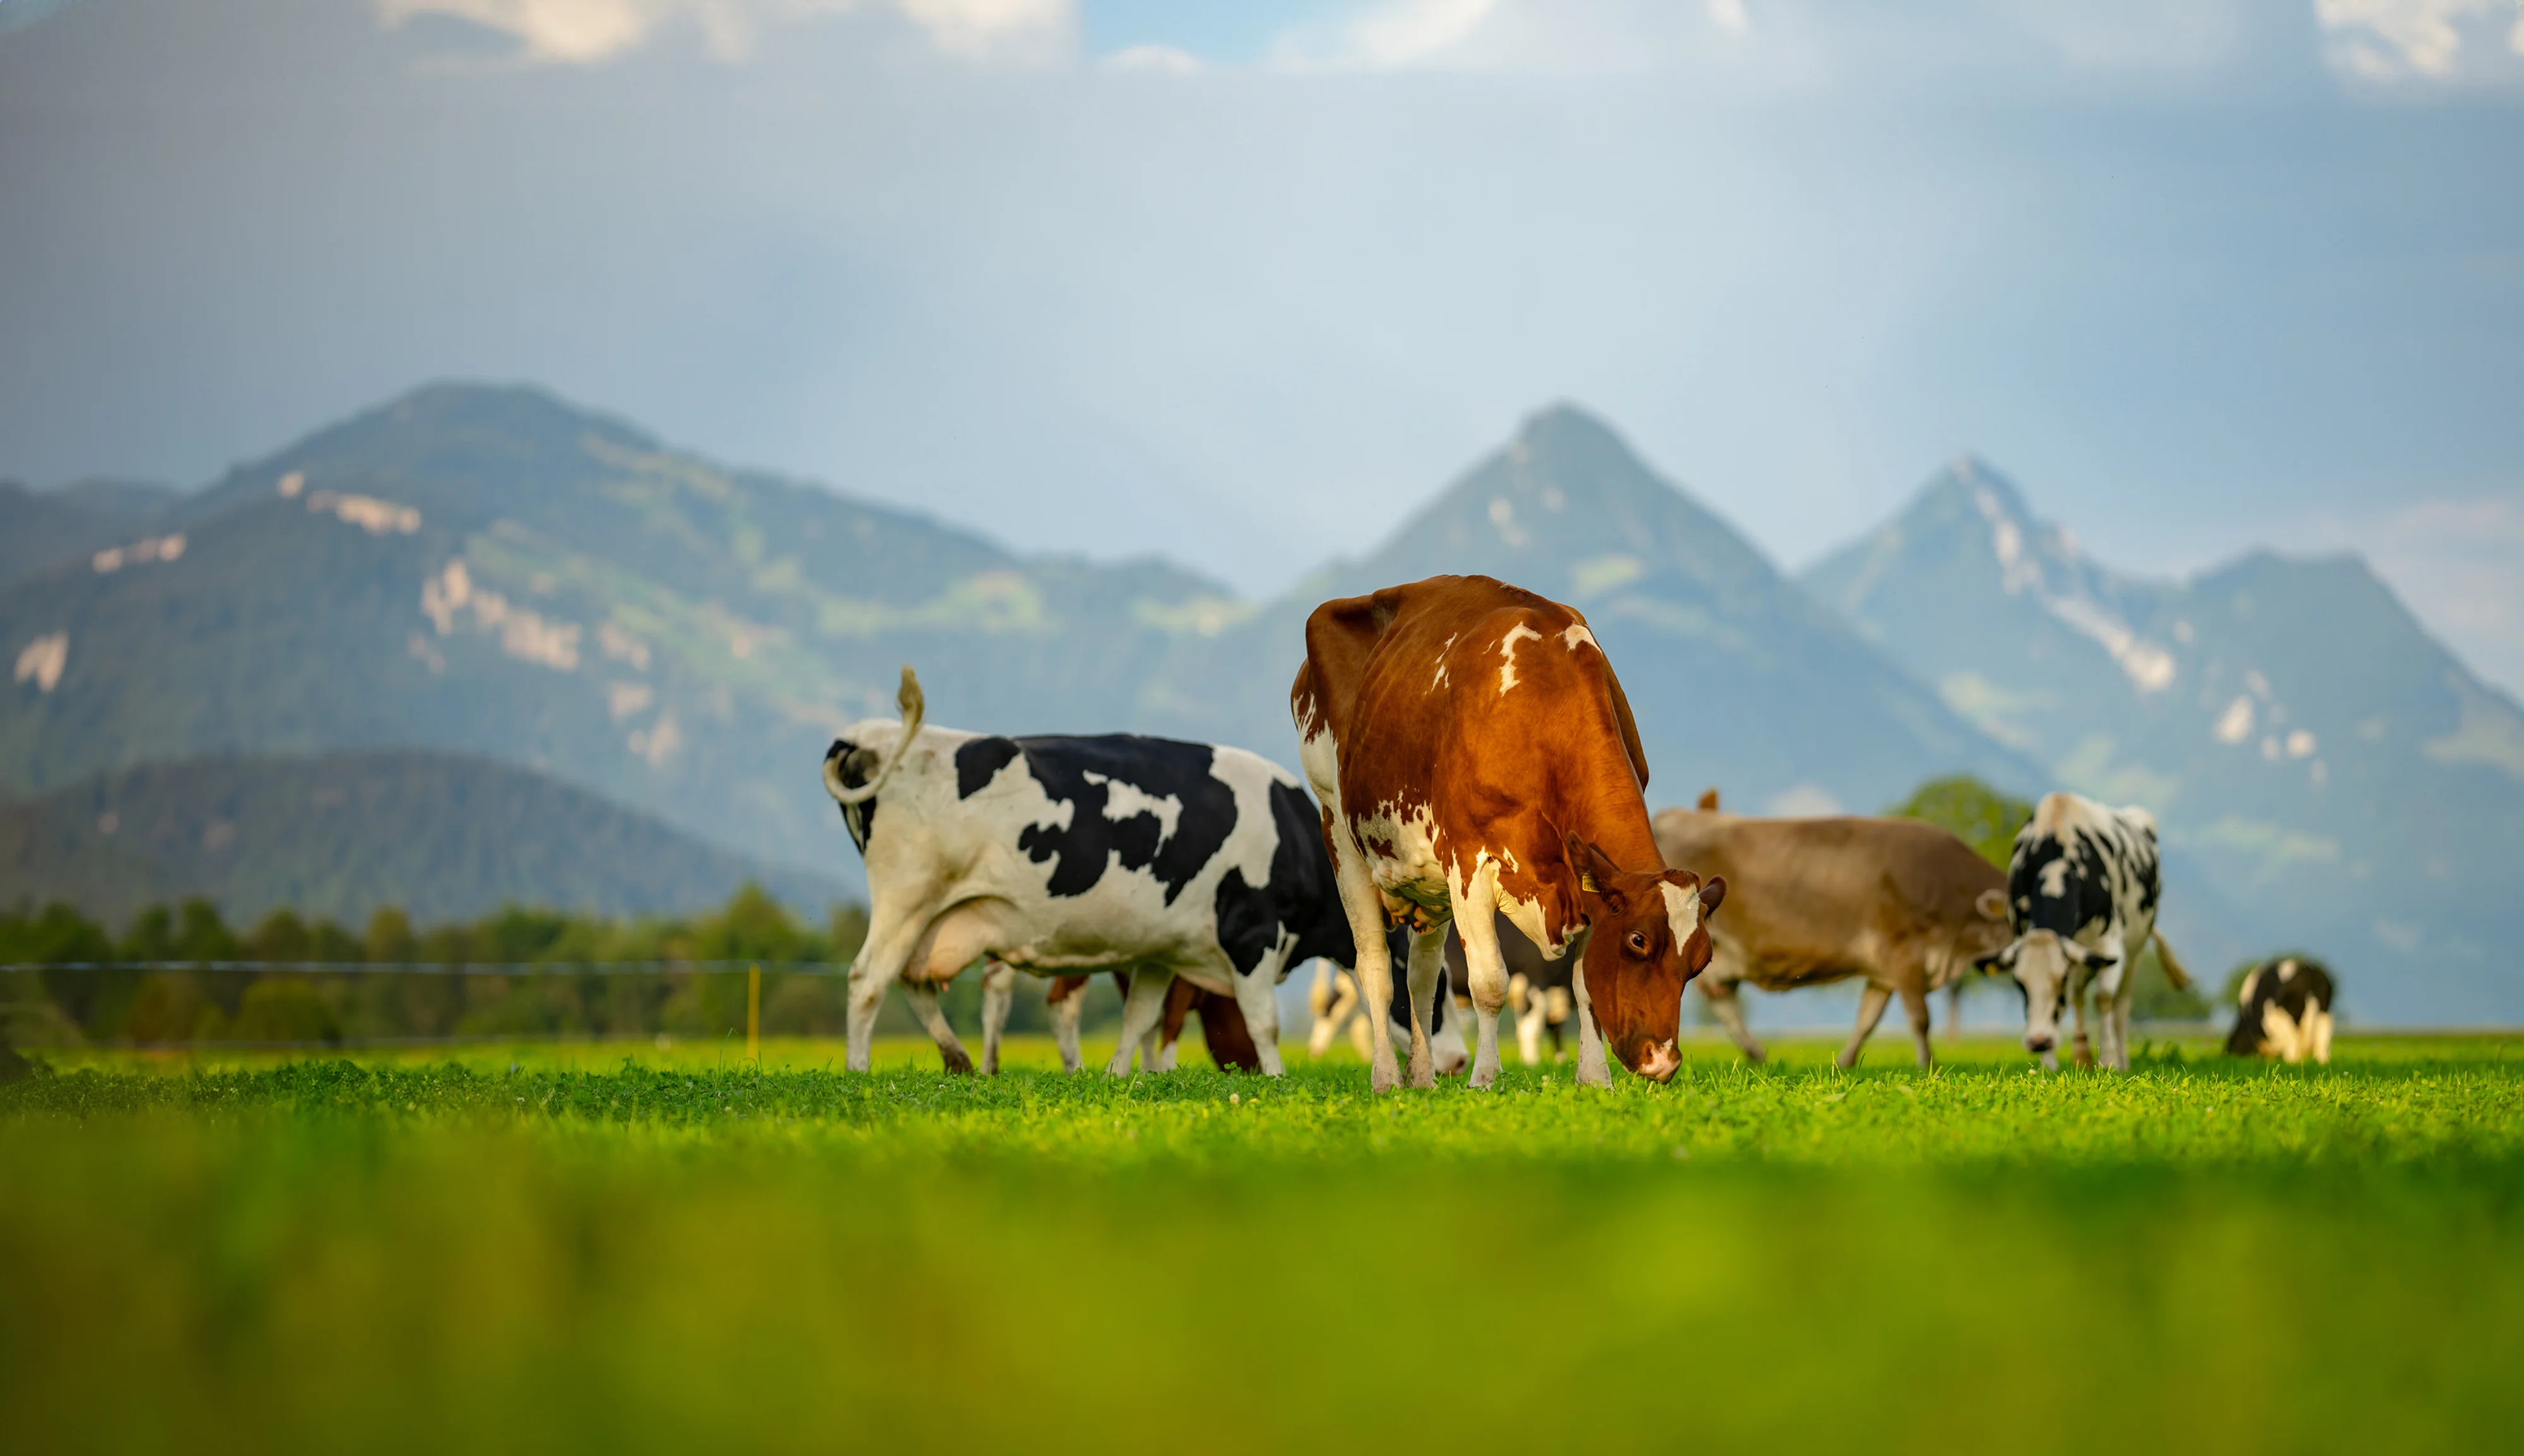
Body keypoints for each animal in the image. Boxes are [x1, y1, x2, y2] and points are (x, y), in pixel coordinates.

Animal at [823, 668, 1354, 1076]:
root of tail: (865, 736)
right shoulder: (1251, 933)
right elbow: (1262, 1021)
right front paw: (1276, 1078)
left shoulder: (1165, 950)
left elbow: (1140, 1016)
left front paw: (1119, 1075)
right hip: (907, 897)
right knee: (868, 980)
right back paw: (859, 1070)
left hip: (935, 917)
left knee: (916, 980)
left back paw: (959, 1060)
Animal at [1291, 574, 1724, 1091]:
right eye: (1638, 941)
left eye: (1700, 961)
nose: (1663, 1061)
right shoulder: (1469, 861)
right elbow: (1490, 983)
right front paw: (1484, 1078)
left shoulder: (1581, 880)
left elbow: (1582, 987)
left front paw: (1595, 1078)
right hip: (1340, 832)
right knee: (1374, 968)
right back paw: (1387, 1077)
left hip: (1427, 880)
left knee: (1421, 977)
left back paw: (1423, 1076)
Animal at [1650, 790, 2013, 1069]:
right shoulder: (1904, 952)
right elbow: (1920, 1017)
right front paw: (1928, 1065)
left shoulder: (1884, 971)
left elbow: (1868, 1018)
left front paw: (1847, 1062)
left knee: (1721, 1002)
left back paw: (1757, 1056)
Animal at [1988, 791, 2194, 1072]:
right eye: (2019, 984)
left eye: (2060, 979)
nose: (2039, 1041)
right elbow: (2070, 1002)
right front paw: (2048, 1064)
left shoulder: (2110, 945)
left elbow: (2104, 998)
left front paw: (2109, 1060)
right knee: (2079, 997)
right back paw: (2081, 1055)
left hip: (2135, 951)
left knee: (2121, 1004)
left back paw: (2122, 1059)